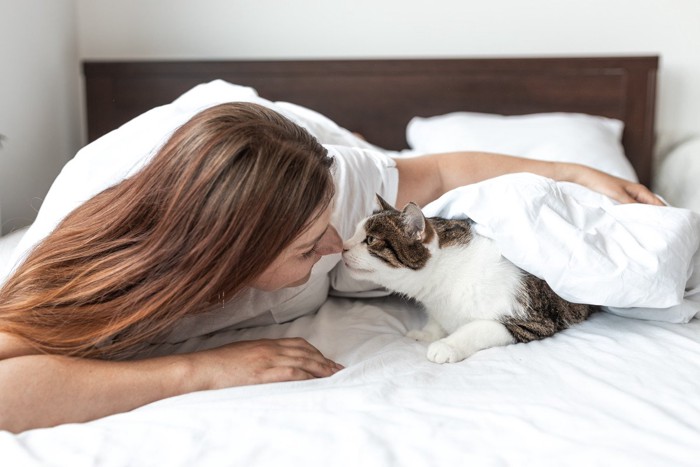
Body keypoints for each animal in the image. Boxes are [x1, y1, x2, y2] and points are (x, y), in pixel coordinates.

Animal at [340, 196, 596, 364]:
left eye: (370, 240)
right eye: (354, 233)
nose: (343, 246)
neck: (442, 281)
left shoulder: (530, 322)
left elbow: (477, 328)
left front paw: (447, 345)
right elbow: (437, 320)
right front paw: (428, 333)